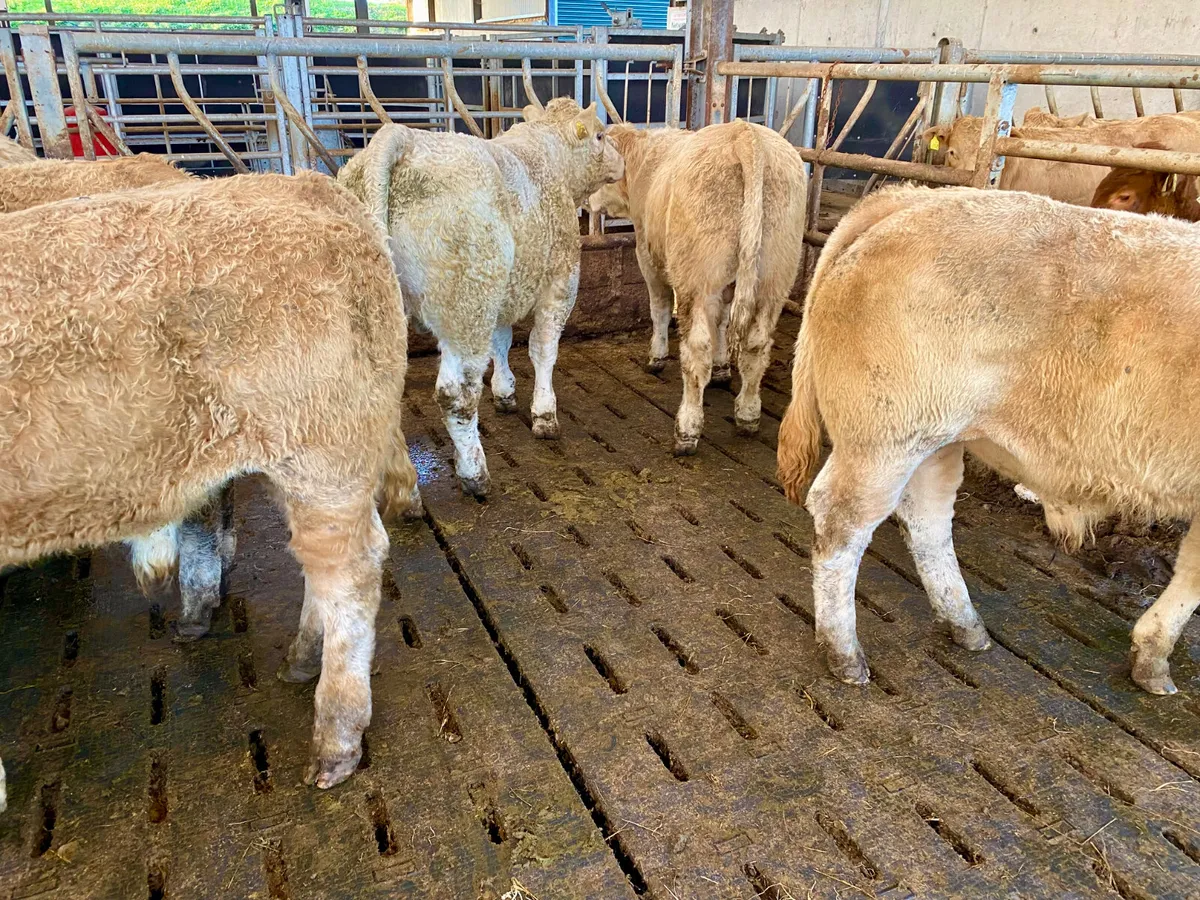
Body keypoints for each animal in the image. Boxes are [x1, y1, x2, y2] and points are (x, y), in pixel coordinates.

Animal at [338, 97, 623, 497]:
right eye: (600, 134)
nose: (621, 158)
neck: (548, 154)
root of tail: (403, 137)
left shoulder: (503, 291)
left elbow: (501, 342)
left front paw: (505, 393)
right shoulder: (561, 281)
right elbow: (543, 350)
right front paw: (544, 414)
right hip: (467, 304)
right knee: (455, 394)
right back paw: (474, 474)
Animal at [588, 120, 807, 454]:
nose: (588, 202)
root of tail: (745, 135)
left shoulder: (647, 255)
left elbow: (660, 308)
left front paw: (656, 357)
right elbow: (724, 321)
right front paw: (722, 368)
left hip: (696, 280)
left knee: (696, 350)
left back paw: (687, 429)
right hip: (773, 279)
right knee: (755, 345)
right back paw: (747, 414)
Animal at [777, 184, 1200, 697]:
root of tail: (912, 197)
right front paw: (1155, 656)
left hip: (934, 435)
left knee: (927, 518)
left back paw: (964, 624)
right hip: (882, 439)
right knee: (842, 524)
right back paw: (844, 652)